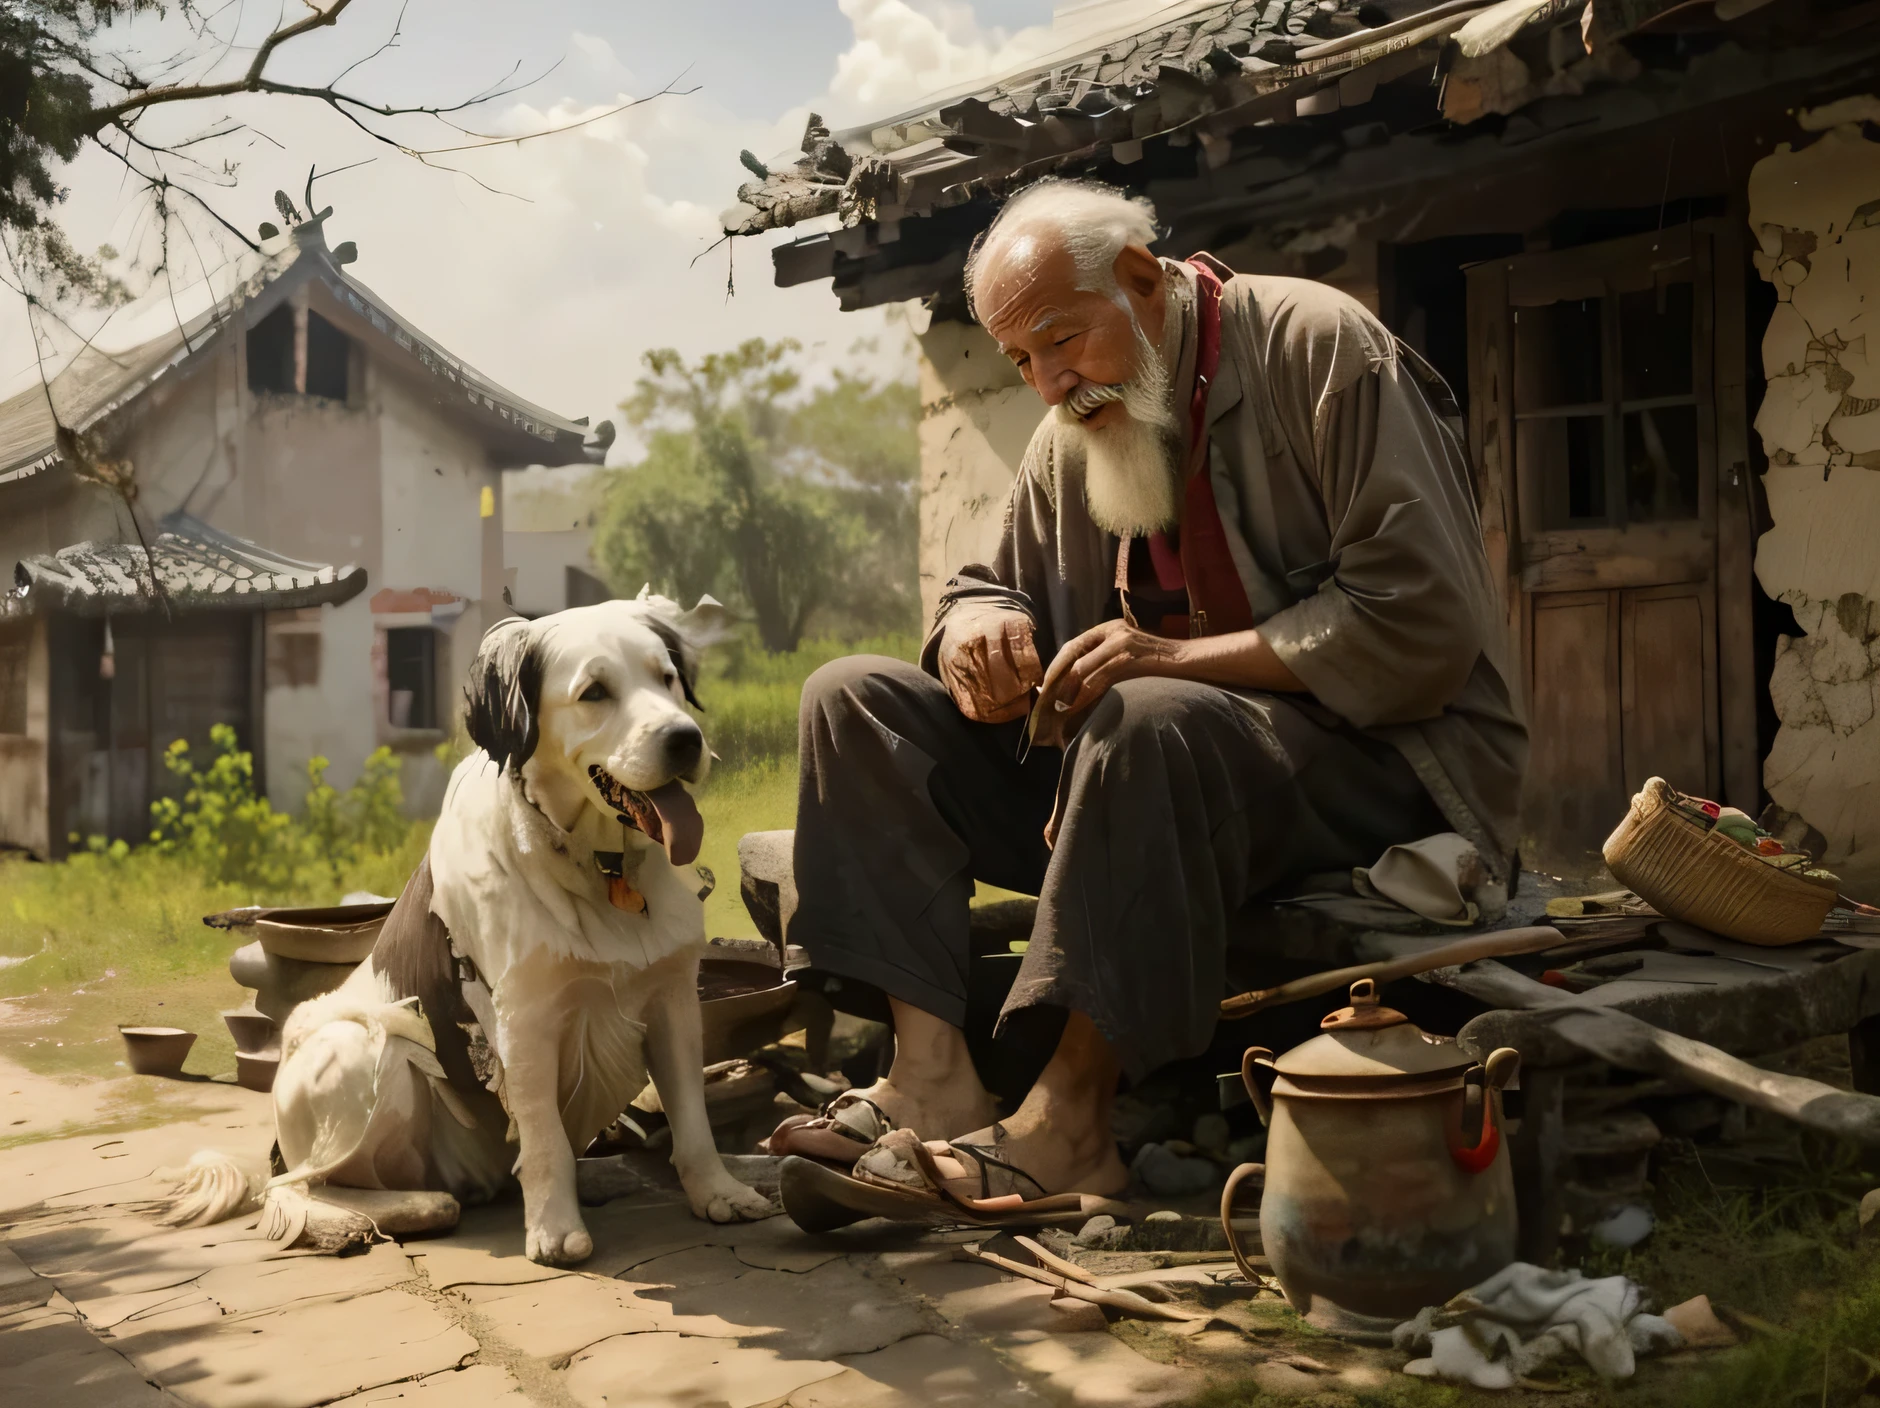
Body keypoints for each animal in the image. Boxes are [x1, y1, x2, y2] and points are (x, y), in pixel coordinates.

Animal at [169, 594, 770, 1263]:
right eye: (594, 692)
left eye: (666, 678)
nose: (685, 740)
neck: (600, 866)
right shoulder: (524, 1015)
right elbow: (544, 1134)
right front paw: (554, 1229)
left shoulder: (672, 1000)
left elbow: (692, 1118)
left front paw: (718, 1192)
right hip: (359, 1046)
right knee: (299, 1186)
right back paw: (405, 1209)